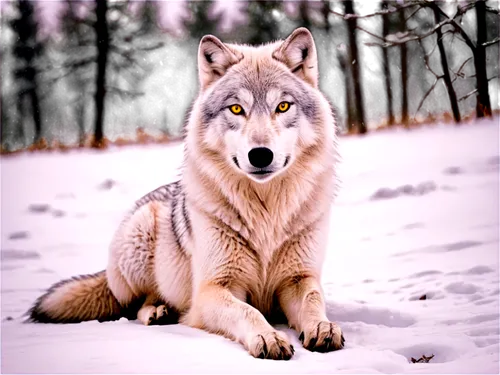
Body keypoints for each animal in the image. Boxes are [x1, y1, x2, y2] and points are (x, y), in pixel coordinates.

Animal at [28, 27, 344, 362]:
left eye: (282, 106)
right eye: (236, 109)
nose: (260, 154)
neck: (265, 211)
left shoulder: (300, 279)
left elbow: (313, 302)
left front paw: (323, 327)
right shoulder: (212, 289)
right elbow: (248, 312)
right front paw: (268, 336)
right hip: (142, 236)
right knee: (140, 303)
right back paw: (158, 312)